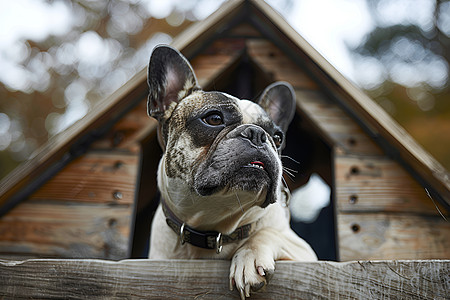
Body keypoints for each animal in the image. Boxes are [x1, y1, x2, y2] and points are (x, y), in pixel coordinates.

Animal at [148, 45, 316, 298]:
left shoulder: (306, 253)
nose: (258, 134)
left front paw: (248, 258)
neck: (214, 225)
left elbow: (267, 233)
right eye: (214, 118)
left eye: (278, 137)